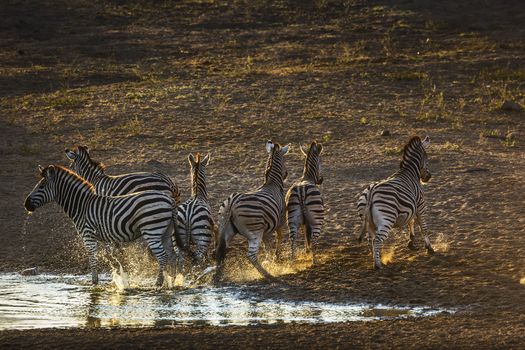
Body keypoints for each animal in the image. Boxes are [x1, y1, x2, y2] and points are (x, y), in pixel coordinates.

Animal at [23, 165, 176, 286]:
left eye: (41, 186)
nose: (26, 204)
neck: (82, 206)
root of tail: (169, 199)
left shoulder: (88, 235)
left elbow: (92, 259)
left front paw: (94, 283)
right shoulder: (105, 237)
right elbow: (113, 257)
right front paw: (120, 278)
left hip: (152, 230)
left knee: (163, 256)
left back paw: (159, 283)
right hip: (165, 232)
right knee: (172, 255)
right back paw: (174, 281)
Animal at [216, 139, 292, 282]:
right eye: (284, 160)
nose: (286, 174)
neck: (271, 183)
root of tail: (232, 203)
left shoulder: (267, 228)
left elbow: (267, 246)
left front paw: (270, 260)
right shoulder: (280, 222)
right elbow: (279, 239)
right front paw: (276, 258)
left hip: (225, 229)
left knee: (219, 251)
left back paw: (217, 278)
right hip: (255, 232)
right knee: (250, 255)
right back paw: (268, 275)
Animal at [356, 135, 434, 270]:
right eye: (427, 158)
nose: (428, 177)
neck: (410, 172)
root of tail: (371, 191)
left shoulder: (411, 206)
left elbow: (410, 221)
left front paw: (411, 242)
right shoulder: (420, 206)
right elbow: (423, 227)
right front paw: (429, 248)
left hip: (369, 222)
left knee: (371, 240)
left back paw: (377, 259)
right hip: (387, 219)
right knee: (377, 240)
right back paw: (378, 265)